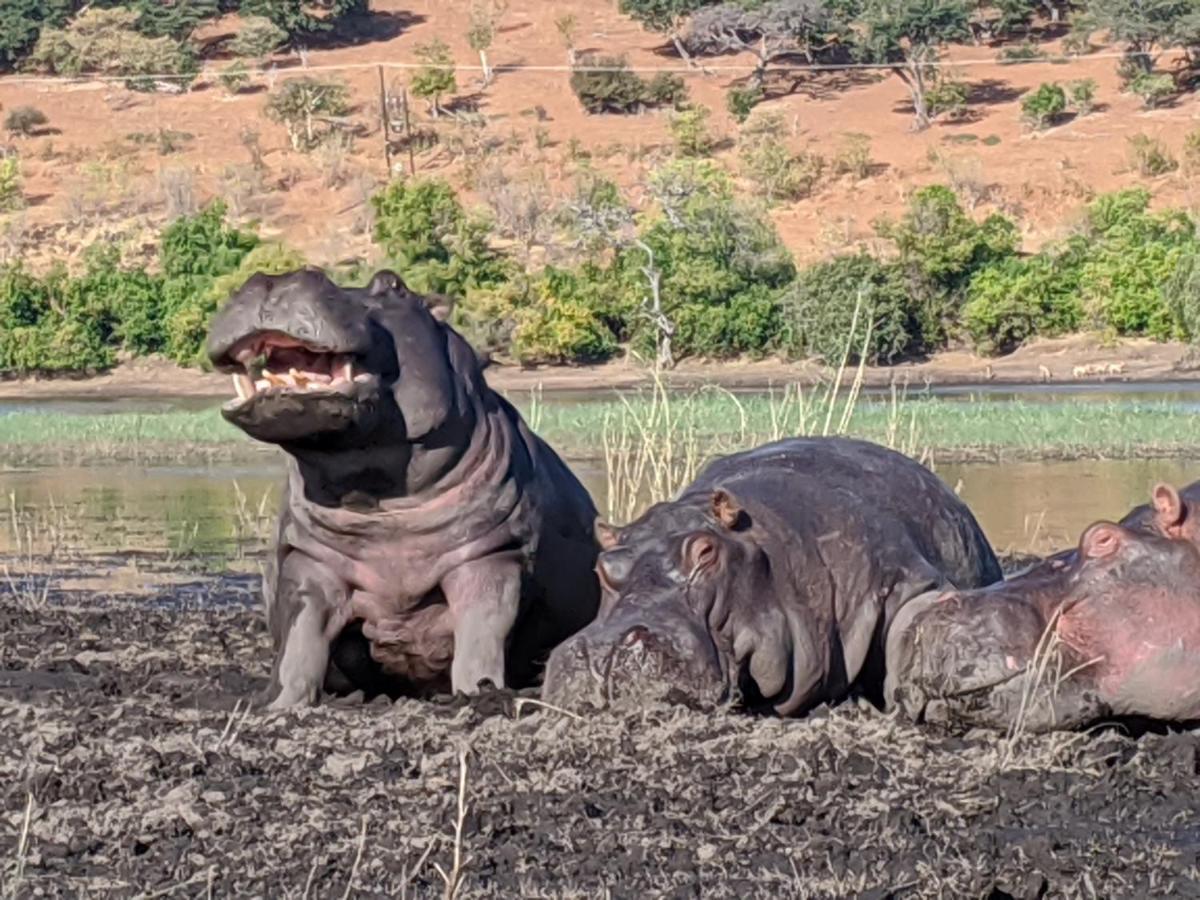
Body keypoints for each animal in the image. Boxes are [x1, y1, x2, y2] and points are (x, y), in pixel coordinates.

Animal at [207, 270, 604, 710]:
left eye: (394, 284)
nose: (274, 279)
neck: (379, 498)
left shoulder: (491, 556)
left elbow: (481, 635)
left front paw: (476, 693)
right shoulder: (311, 561)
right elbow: (300, 643)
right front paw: (275, 706)